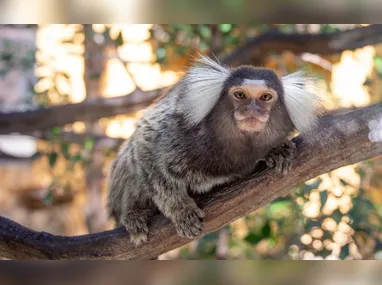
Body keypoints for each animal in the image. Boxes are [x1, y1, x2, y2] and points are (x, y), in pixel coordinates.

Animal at [108, 55, 322, 244]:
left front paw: (276, 151)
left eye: (266, 97)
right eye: (240, 95)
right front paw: (181, 211)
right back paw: (134, 214)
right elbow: (146, 147)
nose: (252, 110)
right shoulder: (178, 128)